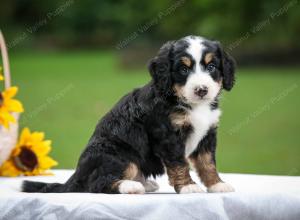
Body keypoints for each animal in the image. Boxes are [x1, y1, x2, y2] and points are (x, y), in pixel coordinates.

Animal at [22, 35, 236, 194]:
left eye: (211, 67)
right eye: (183, 69)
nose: (201, 90)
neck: (191, 104)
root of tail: (78, 173)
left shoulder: (207, 134)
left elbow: (207, 163)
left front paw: (217, 184)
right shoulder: (167, 136)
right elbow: (179, 162)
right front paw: (188, 187)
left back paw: (144, 183)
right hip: (119, 155)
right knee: (97, 183)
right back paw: (131, 186)